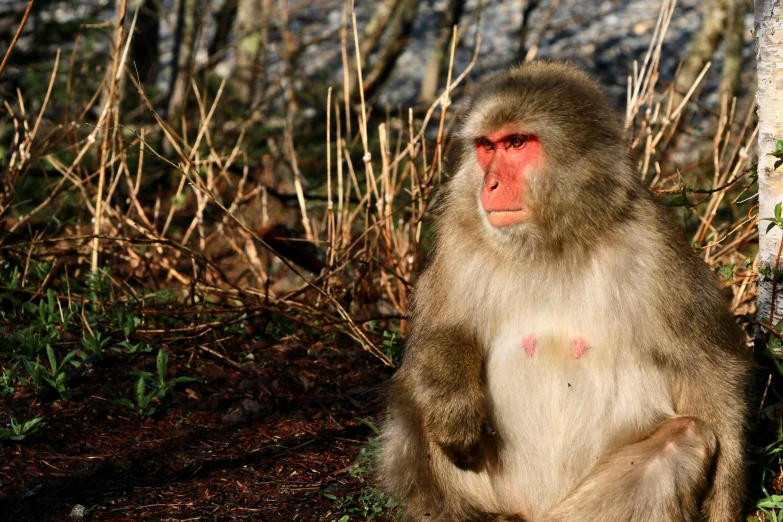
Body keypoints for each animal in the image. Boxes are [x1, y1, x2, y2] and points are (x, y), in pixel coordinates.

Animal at [380, 63, 752, 520]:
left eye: (517, 143)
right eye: (486, 146)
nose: (490, 185)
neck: (552, 244)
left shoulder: (656, 251)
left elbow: (708, 370)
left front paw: (724, 503)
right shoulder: (458, 242)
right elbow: (437, 335)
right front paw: (454, 402)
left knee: (682, 438)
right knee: (412, 400)